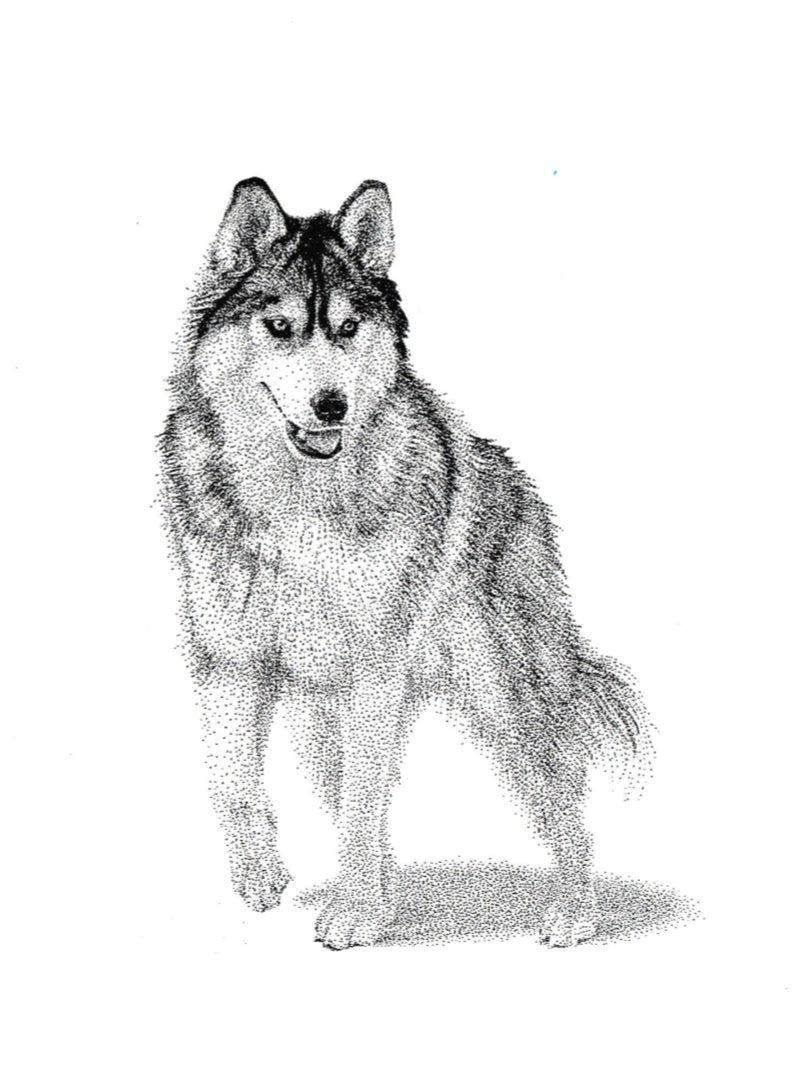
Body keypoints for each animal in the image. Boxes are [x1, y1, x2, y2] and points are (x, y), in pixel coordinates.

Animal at [160, 177, 649, 949]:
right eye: (279, 327)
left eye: (347, 329)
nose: (332, 404)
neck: (297, 497)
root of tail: (522, 491)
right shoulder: (229, 658)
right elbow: (231, 780)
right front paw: (262, 875)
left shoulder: (374, 673)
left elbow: (364, 804)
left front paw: (355, 913)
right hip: (322, 716)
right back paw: (387, 896)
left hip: (505, 701)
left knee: (564, 804)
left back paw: (573, 910)